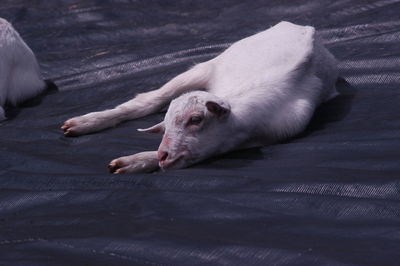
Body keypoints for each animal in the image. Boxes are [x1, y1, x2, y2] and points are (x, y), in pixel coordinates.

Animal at [62, 21, 338, 174]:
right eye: (166, 127)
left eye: (196, 119)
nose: (163, 155)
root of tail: (296, 25)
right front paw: (138, 160)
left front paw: (135, 162)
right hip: (206, 66)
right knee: (149, 99)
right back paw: (84, 122)